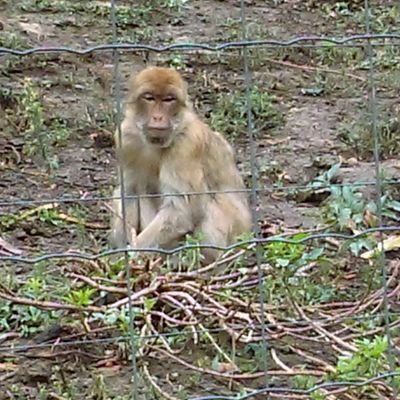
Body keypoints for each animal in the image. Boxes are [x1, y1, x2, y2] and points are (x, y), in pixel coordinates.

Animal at [109, 67, 252, 264]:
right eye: (149, 98)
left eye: (169, 100)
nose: (158, 117)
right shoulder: (126, 138)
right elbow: (128, 192)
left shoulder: (188, 145)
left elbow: (181, 210)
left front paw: (132, 258)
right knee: (141, 189)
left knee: (214, 203)